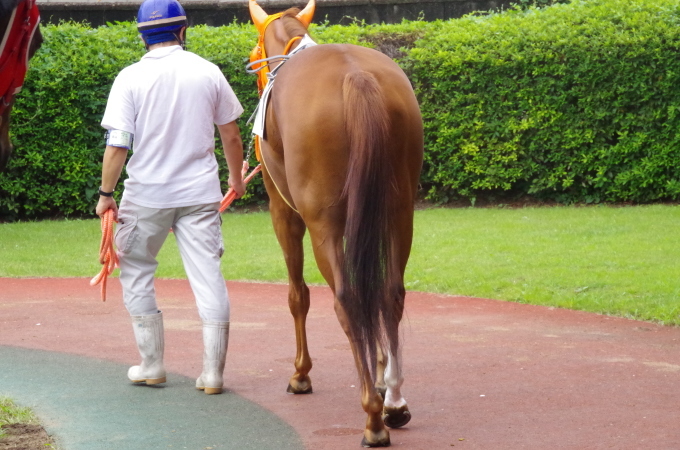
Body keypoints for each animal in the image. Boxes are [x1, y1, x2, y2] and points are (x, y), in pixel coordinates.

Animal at [247, 0, 422, 442]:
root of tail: (356, 77)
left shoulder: (284, 213)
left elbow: (298, 295)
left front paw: (301, 373)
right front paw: (380, 371)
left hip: (322, 224)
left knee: (347, 299)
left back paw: (373, 417)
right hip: (398, 213)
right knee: (390, 292)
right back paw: (394, 400)